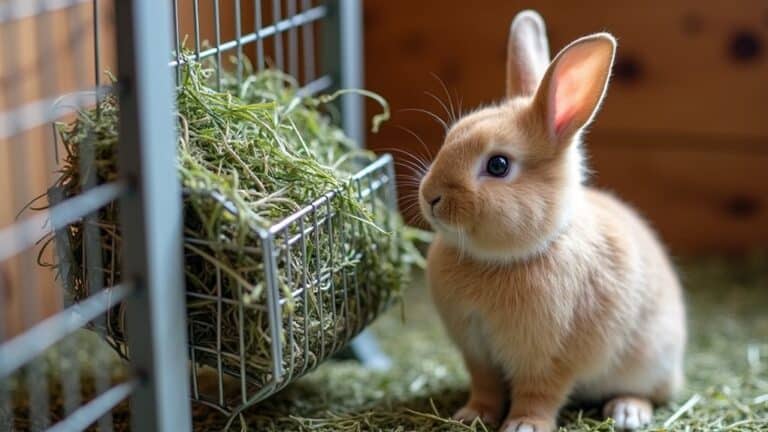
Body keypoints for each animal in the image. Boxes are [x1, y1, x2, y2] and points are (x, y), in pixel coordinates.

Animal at [419, 10, 686, 432]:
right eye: (451, 137)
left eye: (498, 165)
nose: (431, 197)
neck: (501, 259)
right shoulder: (477, 353)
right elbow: (486, 387)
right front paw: (471, 416)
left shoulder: (549, 359)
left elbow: (538, 394)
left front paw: (523, 426)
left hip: (648, 359)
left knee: (652, 393)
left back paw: (628, 412)